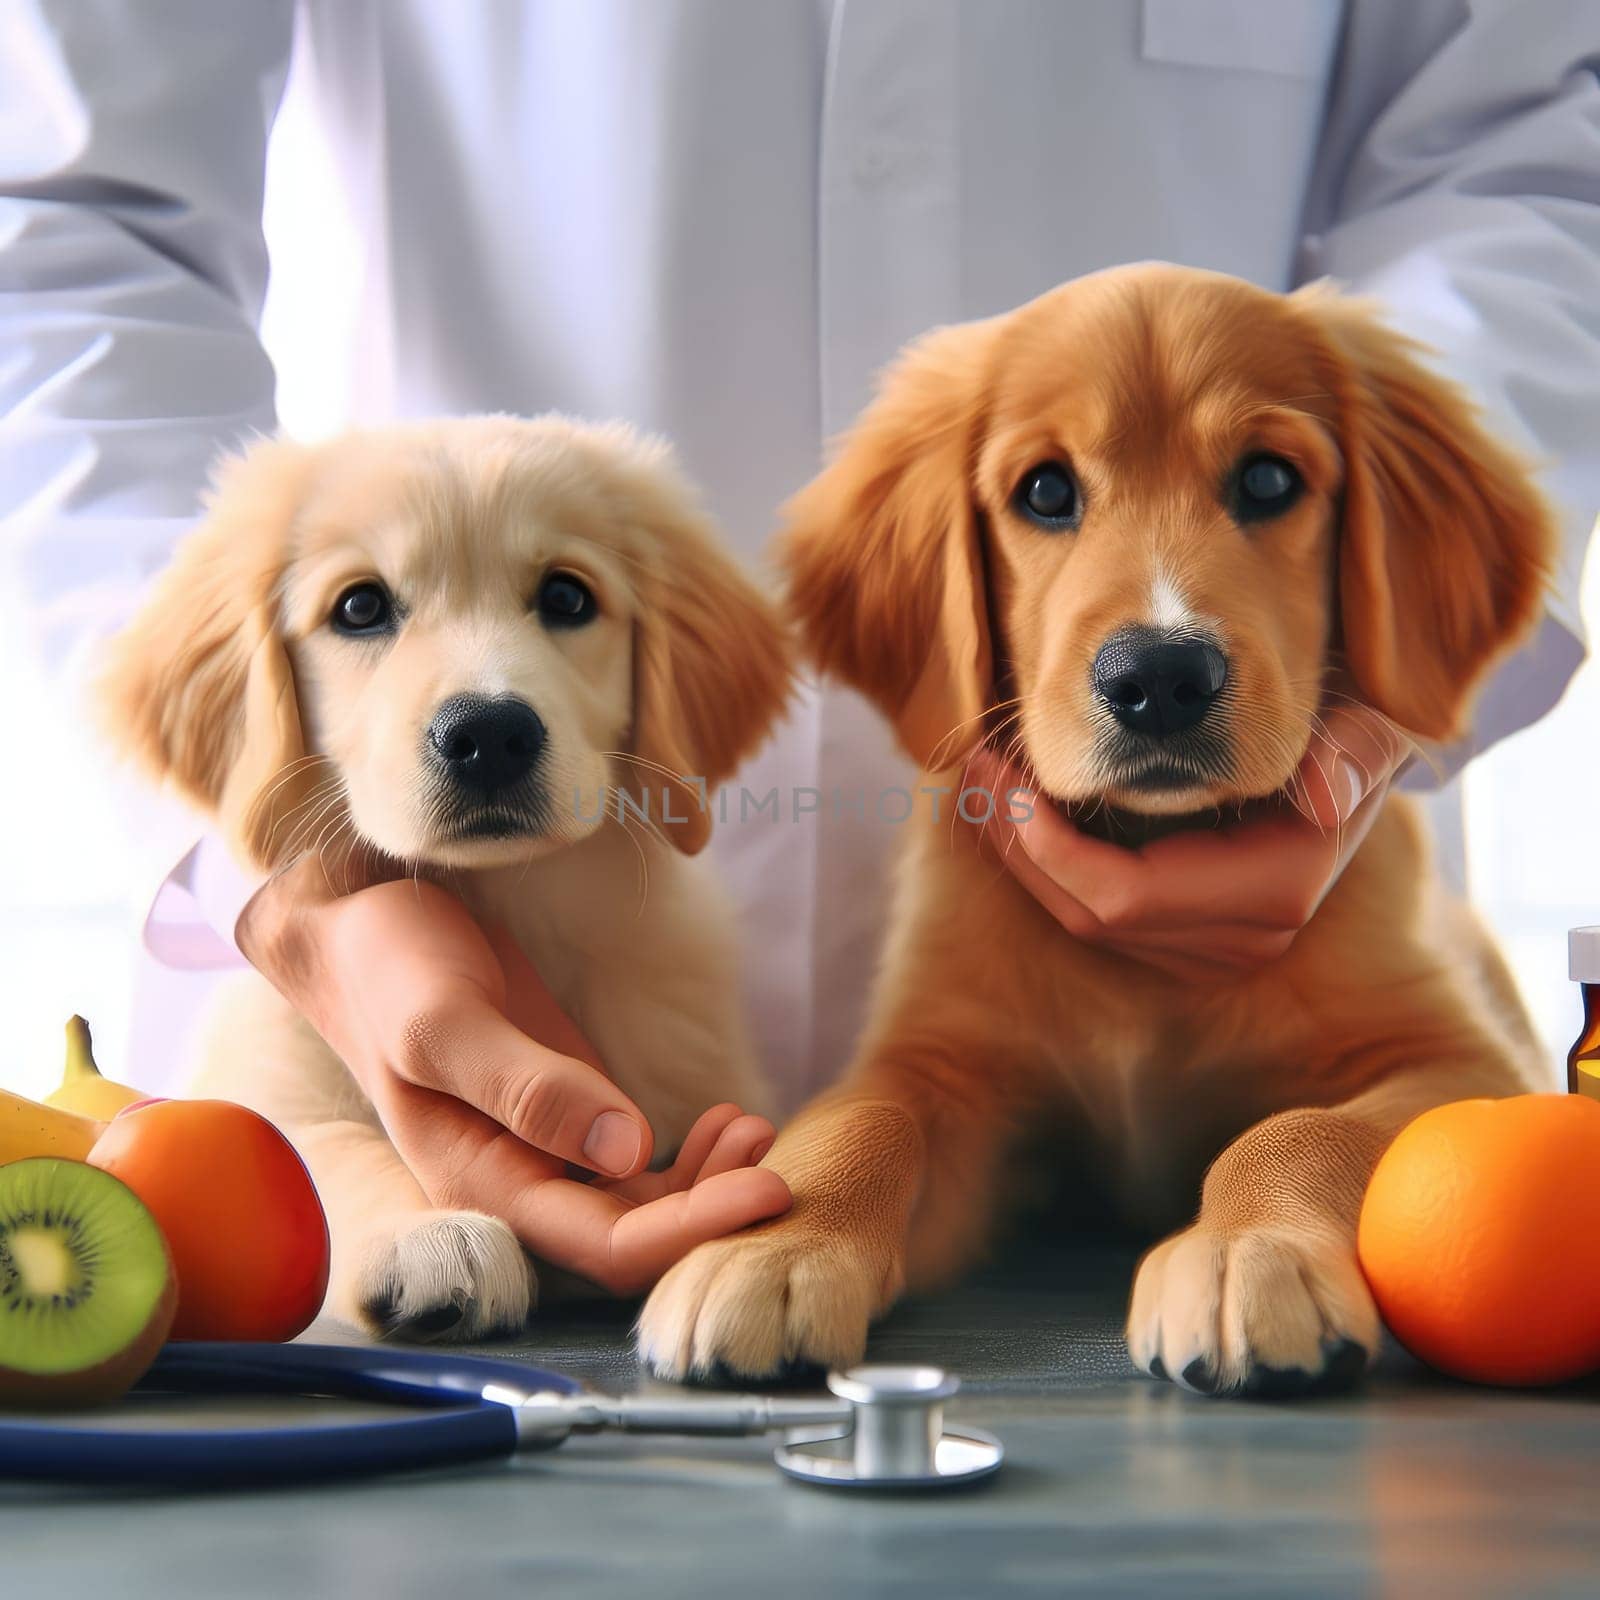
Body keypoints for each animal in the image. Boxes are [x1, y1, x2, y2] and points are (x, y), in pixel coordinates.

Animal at [100, 412, 787, 1337]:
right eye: (360, 606)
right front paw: (429, 1235)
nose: (488, 734)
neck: (505, 903)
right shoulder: (266, 1078)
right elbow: (319, 1146)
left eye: (567, 598)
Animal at [640, 268, 1561, 1395]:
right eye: (1045, 492)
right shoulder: (942, 1058)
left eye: (1267, 480)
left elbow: (1302, 1129)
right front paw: (769, 1248)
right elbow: (858, 1119)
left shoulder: (1463, 1064)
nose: (1159, 677)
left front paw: (1250, 1253)